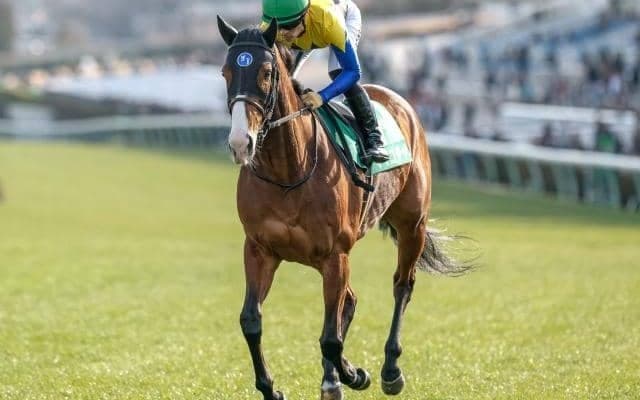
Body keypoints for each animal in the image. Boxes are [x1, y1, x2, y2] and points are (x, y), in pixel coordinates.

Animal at [217, 16, 470, 400]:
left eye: (265, 72)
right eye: (226, 72)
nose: (240, 142)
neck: (288, 171)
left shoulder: (335, 254)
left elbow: (331, 338)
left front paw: (354, 374)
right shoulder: (260, 249)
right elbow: (251, 321)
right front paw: (271, 388)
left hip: (411, 224)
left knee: (401, 286)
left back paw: (389, 370)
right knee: (348, 301)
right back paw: (333, 378)